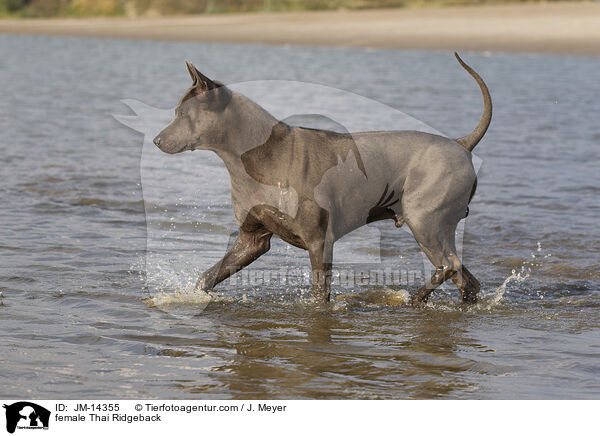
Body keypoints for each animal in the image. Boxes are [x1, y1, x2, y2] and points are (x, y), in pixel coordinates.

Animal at [152, 52, 490, 304]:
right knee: (465, 278)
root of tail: (461, 144)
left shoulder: (318, 240)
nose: (156, 140)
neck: (253, 156)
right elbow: (208, 276)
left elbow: (319, 294)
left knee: (450, 264)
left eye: (182, 114)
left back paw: (413, 298)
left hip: (424, 218)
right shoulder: (251, 239)